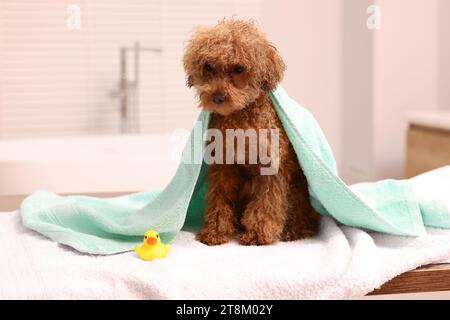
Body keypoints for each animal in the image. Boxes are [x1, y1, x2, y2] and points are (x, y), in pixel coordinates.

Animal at [183, 18, 320, 246]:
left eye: (239, 68)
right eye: (208, 66)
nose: (217, 97)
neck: (240, 122)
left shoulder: (270, 169)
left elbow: (265, 204)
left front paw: (257, 234)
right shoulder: (223, 167)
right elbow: (219, 199)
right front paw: (215, 232)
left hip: (297, 190)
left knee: (303, 218)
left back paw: (294, 232)